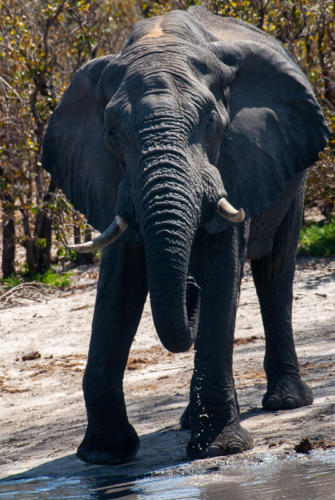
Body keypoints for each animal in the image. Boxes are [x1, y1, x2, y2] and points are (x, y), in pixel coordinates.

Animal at [41, 5, 328, 464]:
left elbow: (223, 267)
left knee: (274, 275)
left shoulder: (238, 158)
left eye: (211, 121)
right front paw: (104, 456)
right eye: (110, 133)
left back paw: (284, 402)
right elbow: (118, 283)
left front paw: (218, 449)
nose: (189, 290)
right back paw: (188, 421)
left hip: (293, 175)